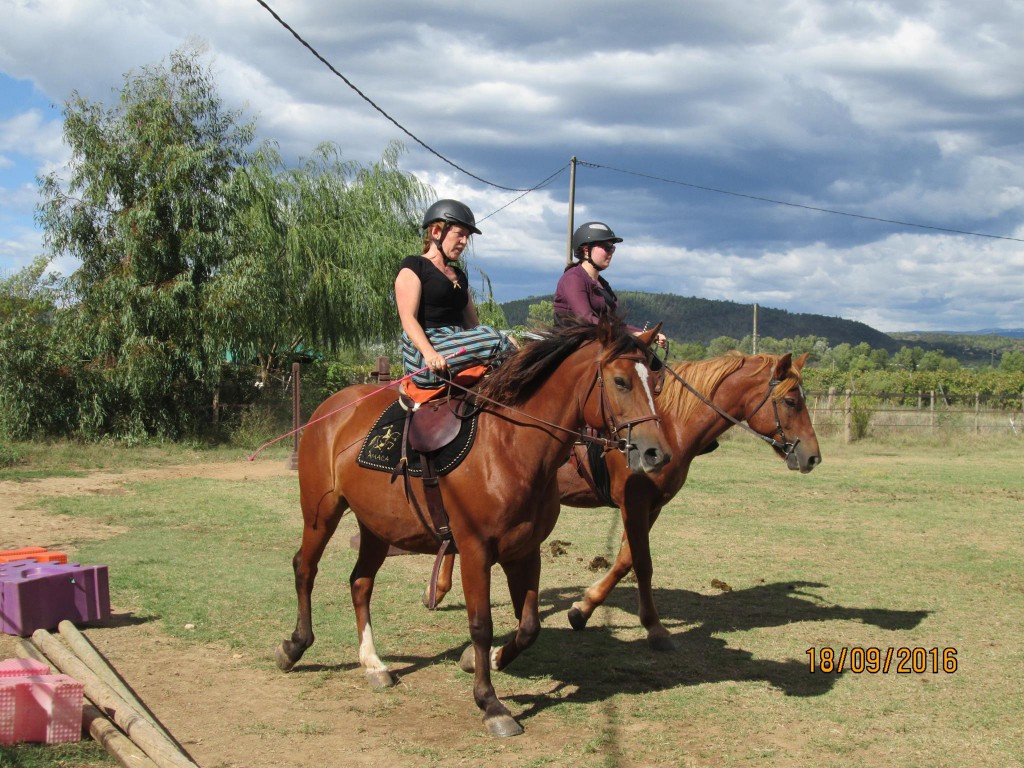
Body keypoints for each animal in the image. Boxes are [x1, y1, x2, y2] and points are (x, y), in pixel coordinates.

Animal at [276, 319, 667, 741]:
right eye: (620, 381)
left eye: (655, 382)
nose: (656, 453)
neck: (510, 446)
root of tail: (332, 408)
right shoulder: (475, 552)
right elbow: (481, 625)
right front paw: (490, 703)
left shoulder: (525, 551)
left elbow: (529, 626)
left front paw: (490, 659)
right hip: (321, 514)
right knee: (305, 568)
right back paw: (294, 646)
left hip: (376, 527)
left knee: (360, 582)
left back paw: (373, 663)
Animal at [428, 352, 819, 651]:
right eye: (790, 401)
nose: (814, 457)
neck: (671, 424)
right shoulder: (635, 503)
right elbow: (642, 564)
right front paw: (656, 629)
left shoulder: (651, 506)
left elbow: (625, 560)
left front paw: (582, 609)